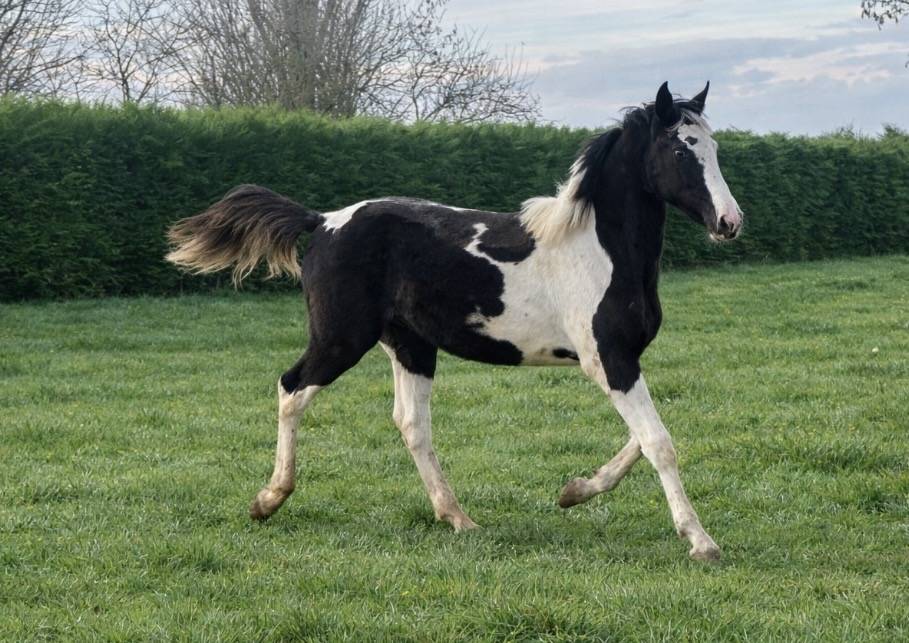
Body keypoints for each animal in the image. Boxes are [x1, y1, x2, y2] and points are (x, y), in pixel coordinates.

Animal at [166, 81, 743, 561]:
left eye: (713, 149)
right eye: (680, 149)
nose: (730, 222)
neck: (599, 250)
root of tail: (323, 222)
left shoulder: (620, 362)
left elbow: (642, 439)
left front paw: (573, 492)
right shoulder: (609, 359)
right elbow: (659, 443)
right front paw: (700, 541)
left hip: (411, 346)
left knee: (410, 424)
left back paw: (457, 517)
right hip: (341, 339)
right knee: (292, 389)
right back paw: (269, 499)